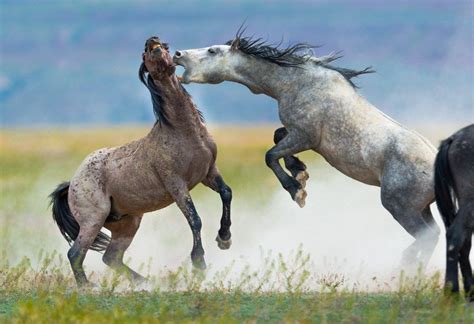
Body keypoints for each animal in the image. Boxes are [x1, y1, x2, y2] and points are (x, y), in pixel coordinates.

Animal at [49, 36, 232, 288]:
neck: (185, 132)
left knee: (111, 257)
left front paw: (224, 238)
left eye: (164, 46)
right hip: (93, 220)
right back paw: (89, 286)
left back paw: (147, 282)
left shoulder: (208, 172)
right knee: (76, 253)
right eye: (144, 53)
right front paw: (199, 265)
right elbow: (195, 219)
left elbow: (226, 193)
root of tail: (72, 183)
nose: (152, 41)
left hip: (127, 224)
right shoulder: (176, 184)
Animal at [173, 29, 440, 268]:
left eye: (212, 50)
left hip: (400, 207)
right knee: (434, 234)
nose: (177, 53)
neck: (296, 82)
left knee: (428, 236)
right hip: (423, 208)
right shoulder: (296, 134)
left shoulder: (305, 136)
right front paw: (299, 171)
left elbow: (270, 155)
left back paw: (405, 265)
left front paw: (297, 190)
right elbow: (277, 137)